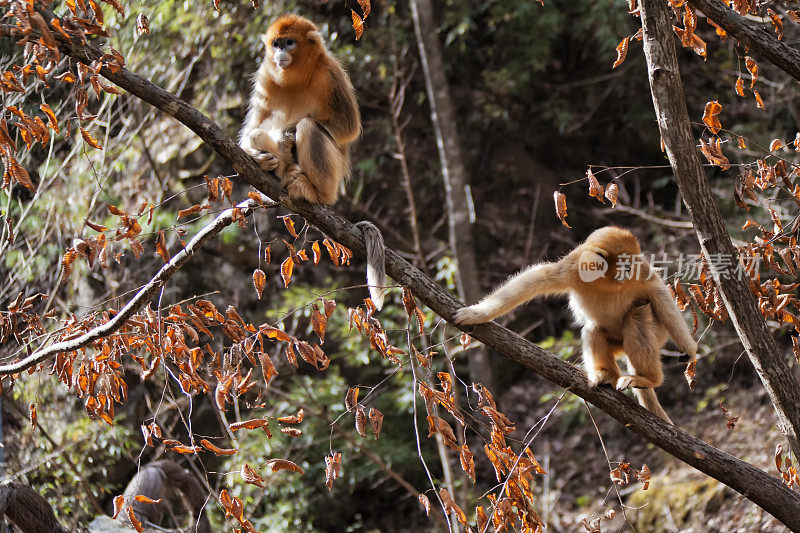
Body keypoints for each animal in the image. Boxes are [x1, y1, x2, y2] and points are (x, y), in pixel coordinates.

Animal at [239, 14, 386, 308]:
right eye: (276, 44)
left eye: (289, 42)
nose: (279, 53)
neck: (297, 76)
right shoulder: (265, 77)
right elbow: (249, 132)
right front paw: (259, 155)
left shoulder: (330, 72)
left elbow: (348, 128)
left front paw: (285, 137)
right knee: (260, 132)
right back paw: (277, 164)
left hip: (334, 174)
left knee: (308, 127)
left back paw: (312, 189)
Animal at [454, 225, 696, 424]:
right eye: (625, 266)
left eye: (632, 266)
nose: (629, 272)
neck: (607, 281)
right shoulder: (576, 264)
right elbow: (538, 278)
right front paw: (477, 313)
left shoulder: (643, 270)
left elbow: (658, 292)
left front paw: (689, 349)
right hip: (616, 343)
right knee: (593, 329)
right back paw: (607, 374)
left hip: (659, 332)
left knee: (637, 314)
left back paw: (648, 379)